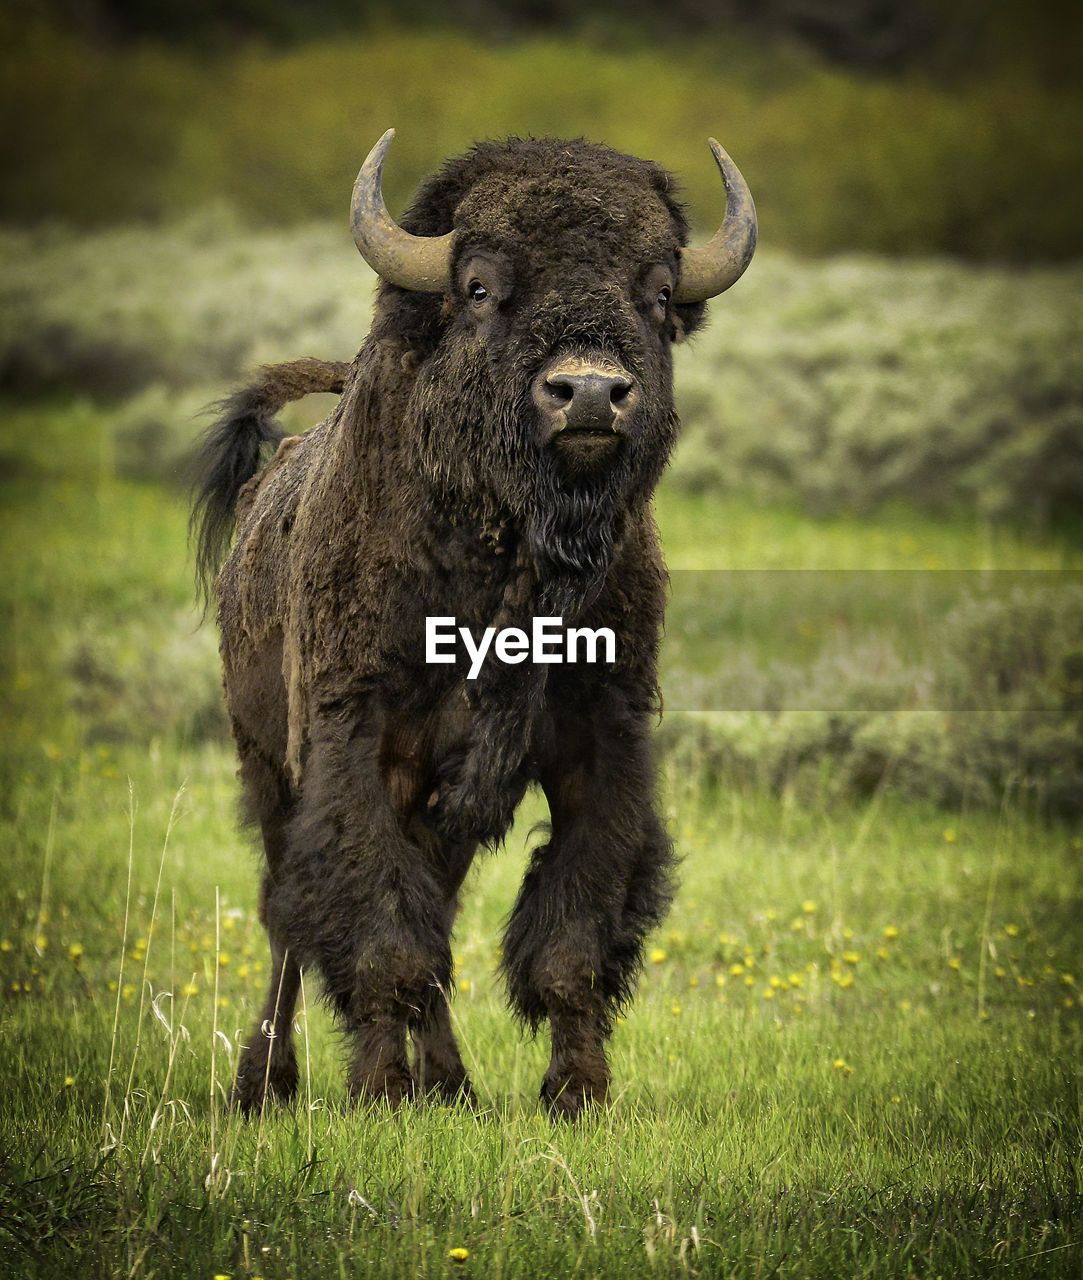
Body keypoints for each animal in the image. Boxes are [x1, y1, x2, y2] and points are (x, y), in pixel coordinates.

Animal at [193, 124, 752, 1116]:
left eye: (656, 292)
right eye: (481, 286)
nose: (589, 395)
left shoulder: (598, 740)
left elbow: (570, 931)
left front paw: (576, 1092)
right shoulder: (358, 743)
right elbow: (380, 927)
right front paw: (377, 1092)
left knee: (432, 912)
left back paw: (449, 1082)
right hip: (266, 764)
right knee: (288, 918)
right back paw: (267, 1081)